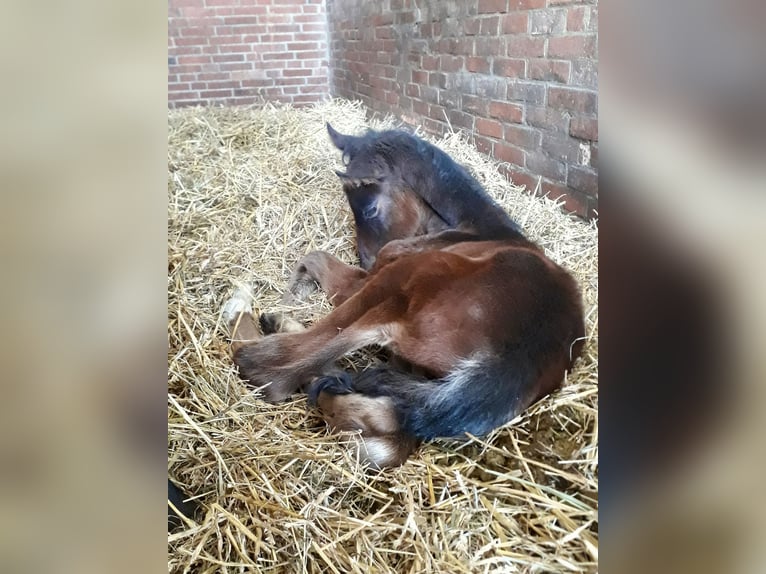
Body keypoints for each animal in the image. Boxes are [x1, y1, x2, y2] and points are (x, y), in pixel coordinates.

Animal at [224, 125, 588, 468]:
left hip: (400, 284)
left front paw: (292, 294)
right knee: (390, 419)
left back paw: (244, 310)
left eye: (370, 209)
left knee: (271, 366)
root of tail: (515, 360)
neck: (474, 229)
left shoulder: (368, 280)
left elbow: (316, 258)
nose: (369, 261)